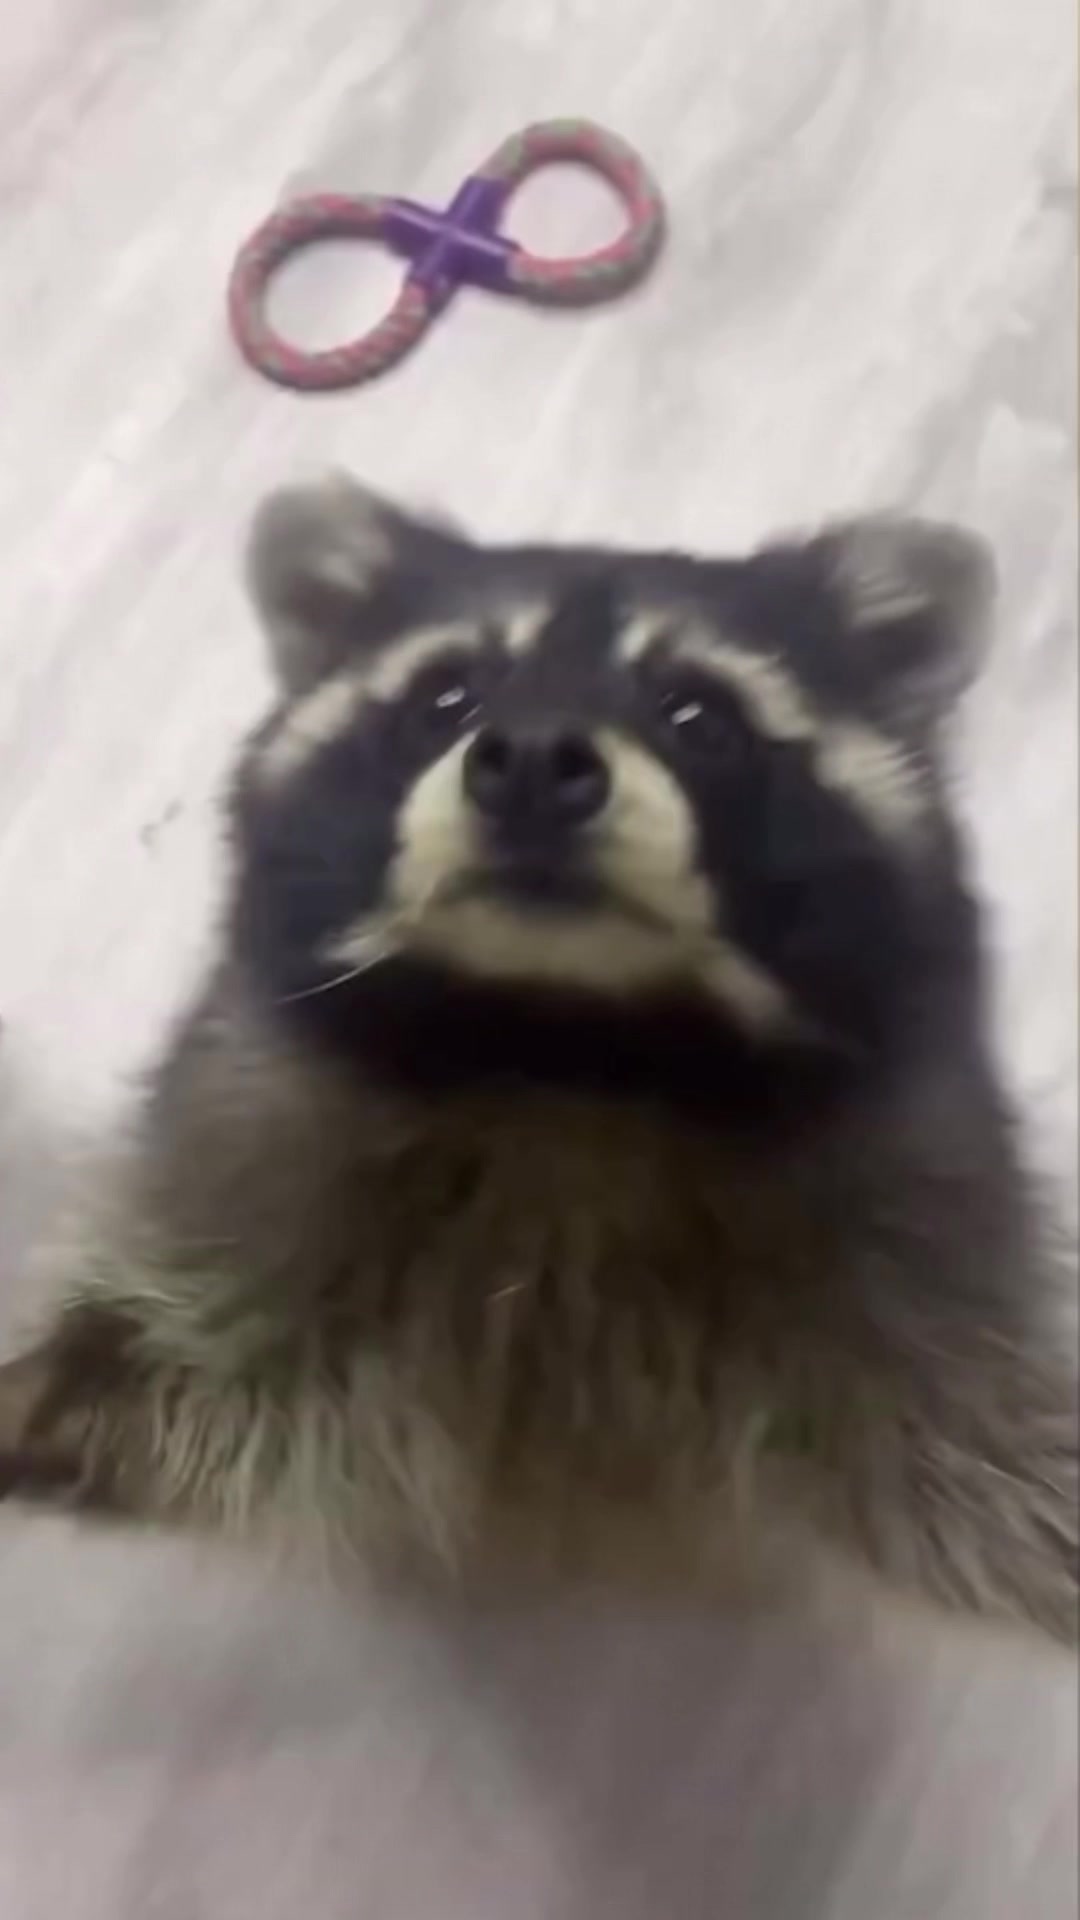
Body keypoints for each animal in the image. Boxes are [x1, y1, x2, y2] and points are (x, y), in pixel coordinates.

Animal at [0, 478, 1075, 1637]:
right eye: (446, 695)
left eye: (696, 714)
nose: (530, 762)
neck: (564, 1043)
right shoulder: (256, 1174)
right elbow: (177, 1359)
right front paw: (49, 1398)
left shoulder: (918, 1233)